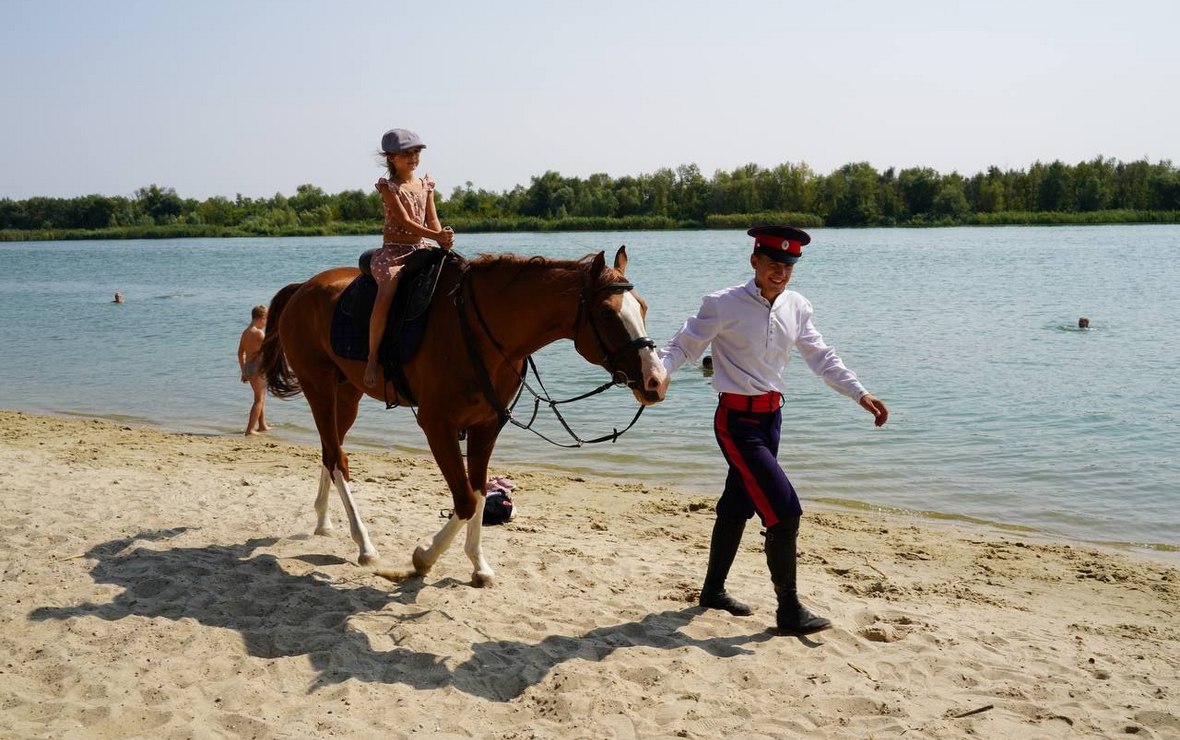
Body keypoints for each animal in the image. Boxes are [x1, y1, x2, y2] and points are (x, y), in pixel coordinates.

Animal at [258, 246, 665, 587]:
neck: (484, 333)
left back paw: (324, 521)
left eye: (643, 307)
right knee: (336, 458)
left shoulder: (488, 425)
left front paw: (478, 565)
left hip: (348, 394)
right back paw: (364, 545)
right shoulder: (437, 425)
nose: (656, 380)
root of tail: (303, 288)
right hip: (319, 387)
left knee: (332, 452)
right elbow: (466, 501)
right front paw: (423, 559)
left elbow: (479, 492)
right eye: (608, 313)